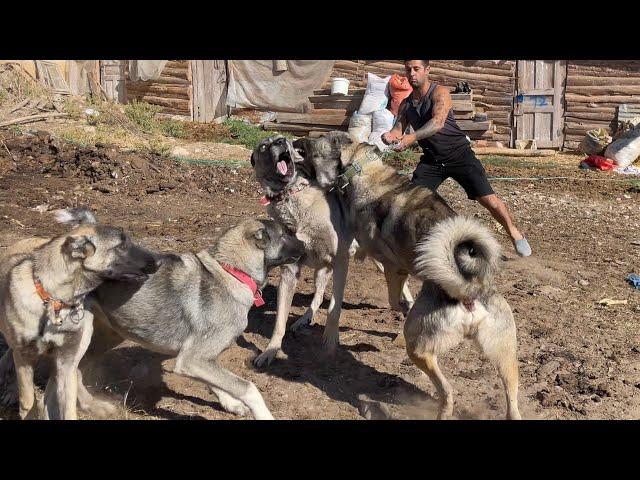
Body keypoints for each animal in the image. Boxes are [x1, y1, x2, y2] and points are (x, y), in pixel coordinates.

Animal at [0, 208, 159, 418]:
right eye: (121, 245)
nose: (159, 262)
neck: (53, 299)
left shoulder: (66, 361)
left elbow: (67, 405)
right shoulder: (24, 356)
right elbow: (27, 401)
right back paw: (10, 387)